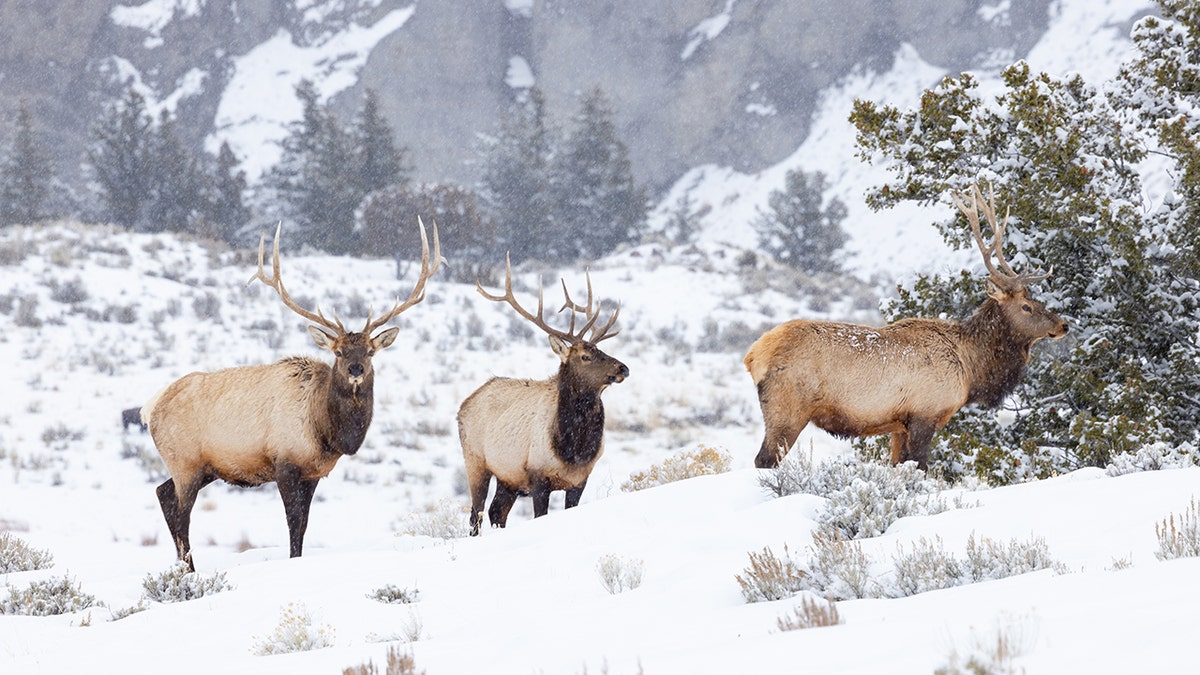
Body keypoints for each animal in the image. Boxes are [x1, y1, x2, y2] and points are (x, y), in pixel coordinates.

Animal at [141, 219, 441, 566]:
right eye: (338, 352)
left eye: (370, 351)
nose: (356, 370)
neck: (326, 430)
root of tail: (149, 408)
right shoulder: (285, 464)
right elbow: (292, 524)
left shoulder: (313, 474)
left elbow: (303, 526)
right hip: (184, 461)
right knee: (181, 514)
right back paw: (188, 569)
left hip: (202, 467)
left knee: (163, 493)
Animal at [456, 254, 628, 533]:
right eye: (586, 356)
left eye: (602, 350)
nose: (623, 368)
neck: (572, 450)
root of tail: (464, 404)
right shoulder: (538, 476)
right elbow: (539, 516)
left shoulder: (580, 480)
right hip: (475, 461)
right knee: (476, 515)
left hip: (508, 477)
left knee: (496, 512)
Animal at [748, 182, 1070, 468]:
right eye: (1027, 306)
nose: (1063, 325)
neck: (970, 369)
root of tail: (753, 355)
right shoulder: (924, 413)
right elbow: (920, 466)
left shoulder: (898, 425)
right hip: (787, 408)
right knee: (764, 460)